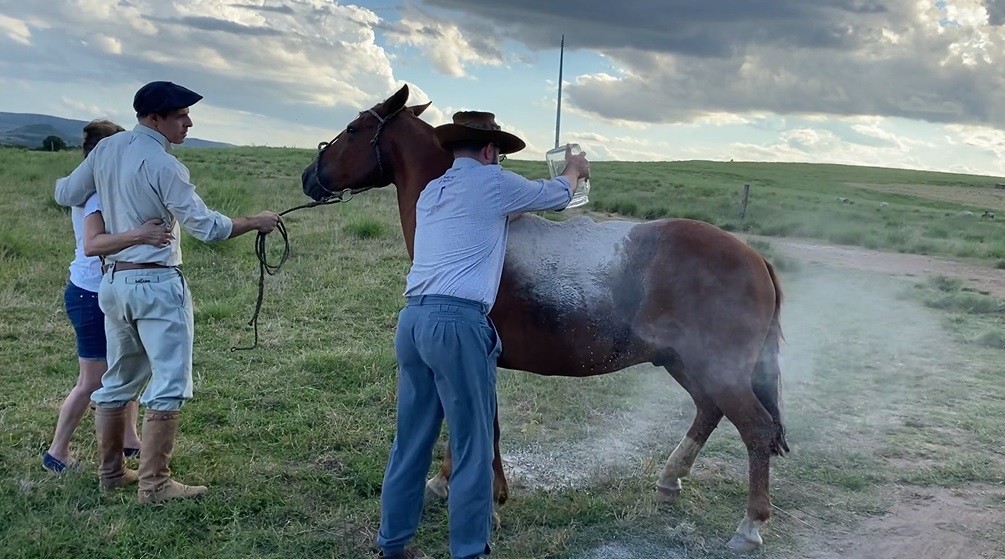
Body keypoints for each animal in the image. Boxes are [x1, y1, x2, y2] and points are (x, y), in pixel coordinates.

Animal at [301, 84, 787, 550]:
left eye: (353, 130)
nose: (309, 176)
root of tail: (755, 258)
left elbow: (485, 429)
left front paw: (488, 499)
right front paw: (445, 481)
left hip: (716, 369)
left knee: (756, 429)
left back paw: (749, 525)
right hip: (682, 363)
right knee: (709, 410)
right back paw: (670, 480)